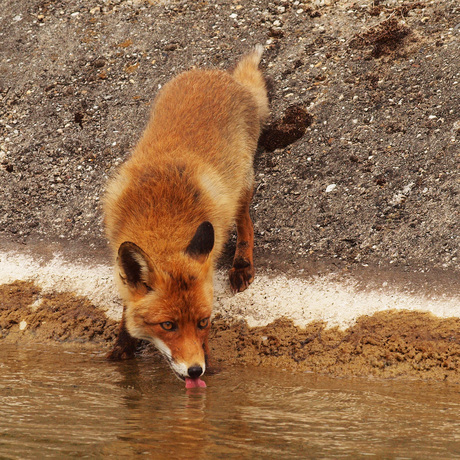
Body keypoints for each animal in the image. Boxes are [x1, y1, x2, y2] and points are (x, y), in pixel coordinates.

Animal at [103, 46, 270, 386]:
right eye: (168, 325)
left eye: (204, 322)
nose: (196, 371)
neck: (162, 219)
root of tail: (220, 75)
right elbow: (127, 307)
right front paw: (122, 347)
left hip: (242, 184)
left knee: (245, 223)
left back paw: (242, 264)